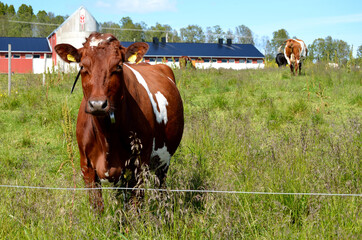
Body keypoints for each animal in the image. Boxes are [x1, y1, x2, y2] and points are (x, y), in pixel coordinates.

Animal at [54, 32, 184, 211]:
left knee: (161, 187)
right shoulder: (87, 168)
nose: (97, 104)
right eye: (82, 67)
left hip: (163, 161)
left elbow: (135, 209)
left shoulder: (139, 167)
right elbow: (98, 209)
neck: (106, 134)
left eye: (118, 66)